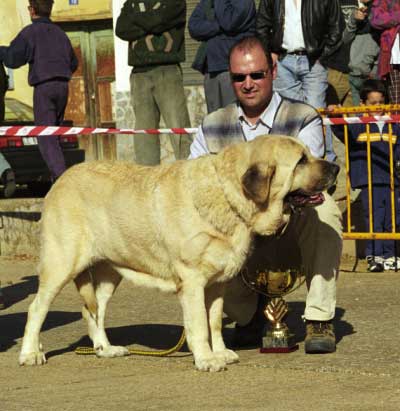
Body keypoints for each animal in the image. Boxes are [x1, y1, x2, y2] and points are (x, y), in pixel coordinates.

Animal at [18, 136, 338, 374]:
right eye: (301, 161)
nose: (335, 167)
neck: (228, 196)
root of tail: (61, 179)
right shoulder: (193, 282)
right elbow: (198, 324)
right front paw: (206, 359)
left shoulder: (217, 285)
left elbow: (214, 322)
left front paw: (221, 352)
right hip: (61, 264)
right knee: (37, 308)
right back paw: (30, 353)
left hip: (110, 272)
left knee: (94, 309)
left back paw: (105, 349)